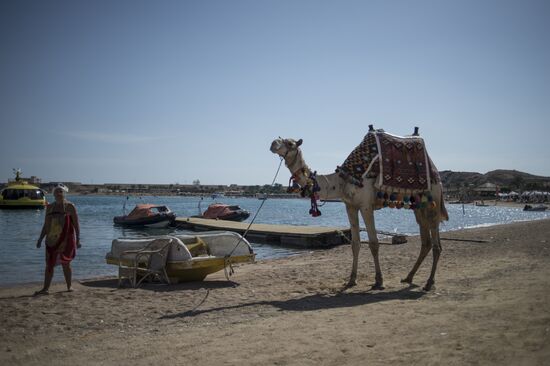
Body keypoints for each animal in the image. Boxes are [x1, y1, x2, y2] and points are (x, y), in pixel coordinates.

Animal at [270, 127, 448, 290]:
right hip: (418, 206)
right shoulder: (350, 206)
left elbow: (374, 243)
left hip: (432, 201)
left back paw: (429, 283)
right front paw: (351, 280)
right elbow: (355, 244)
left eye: (290, 143)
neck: (341, 181)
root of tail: (436, 174)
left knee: (436, 244)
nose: (273, 144)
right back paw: (408, 278)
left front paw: (379, 281)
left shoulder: (366, 205)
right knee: (425, 242)